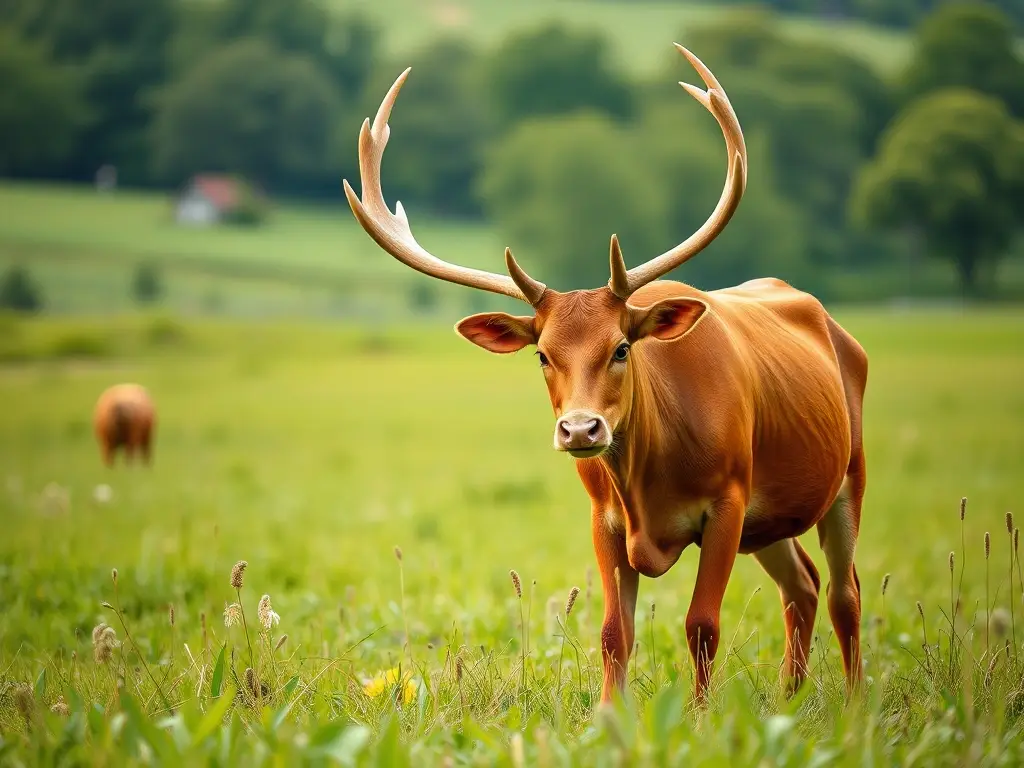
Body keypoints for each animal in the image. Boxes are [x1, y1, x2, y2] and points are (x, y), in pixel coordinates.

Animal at [343, 44, 867, 703]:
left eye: (621, 348)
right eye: (542, 354)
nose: (580, 430)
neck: (650, 478)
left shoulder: (729, 498)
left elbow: (701, 625)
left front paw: (699, 717)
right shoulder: (605, 521)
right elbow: (614, 632)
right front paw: (608, 716)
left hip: (848, 472)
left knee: (847, 593)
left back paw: (856, 705)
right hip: (773, 521)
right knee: (803, 585)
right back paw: (789, 699)